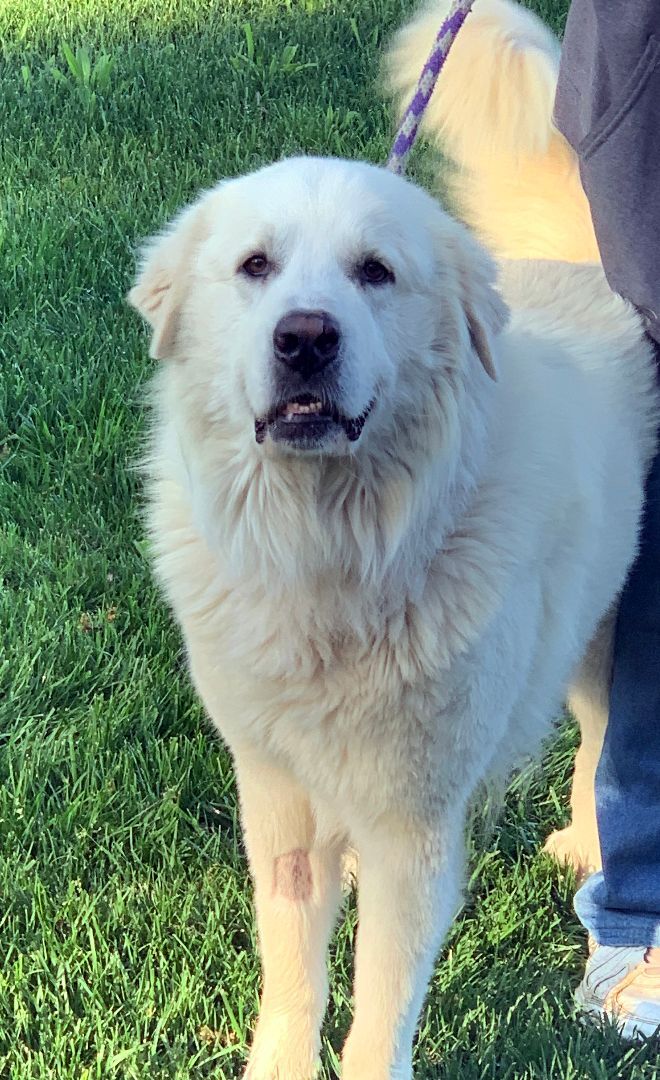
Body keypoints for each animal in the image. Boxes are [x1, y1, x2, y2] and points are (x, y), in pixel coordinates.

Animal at [130, 4, 660, 1075]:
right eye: (256, 267)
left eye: (374, 273)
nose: (304, 337)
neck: (330, 550)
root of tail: (584, 267)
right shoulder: (277, 792)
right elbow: (294, 973)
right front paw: (279, 1065)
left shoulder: (410, 820)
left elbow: (381, 1002)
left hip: (604, 631)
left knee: (601, 742)